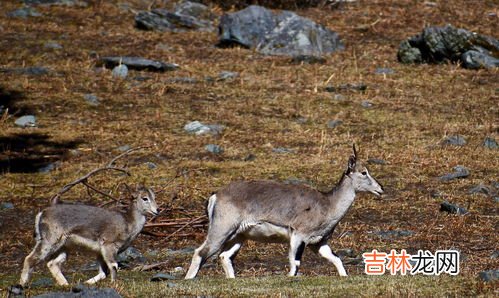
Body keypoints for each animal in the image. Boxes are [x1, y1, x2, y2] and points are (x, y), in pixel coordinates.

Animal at [20, 186, 158, 286]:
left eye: (154, 197)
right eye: (145, 198)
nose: (157, 210)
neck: (128, 223)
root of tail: (42, 213)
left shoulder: (100, 253)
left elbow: (103, 273)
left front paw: (87, 282)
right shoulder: (108, 247)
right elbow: (114, 266)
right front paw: (114, 284)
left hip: (63, 248)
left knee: (52, 264)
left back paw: (66, 285)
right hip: (49, 242)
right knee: (29, 259)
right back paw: (22, 284)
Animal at [186, 146, 384, 278]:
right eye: (363, 172)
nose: (380, 189)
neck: (327, 205)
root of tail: (215, 196)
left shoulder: (318, 243)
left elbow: (336, 258)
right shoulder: (298, 235)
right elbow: (294, 263)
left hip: (238, 236)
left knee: (224, 256)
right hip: (221, 229)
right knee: (201, 252)